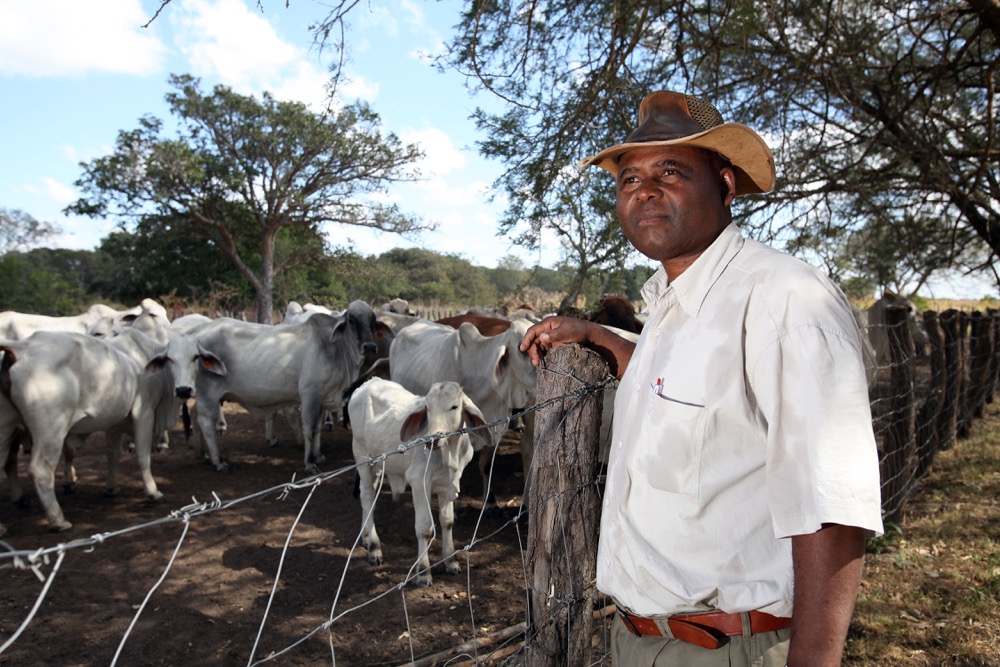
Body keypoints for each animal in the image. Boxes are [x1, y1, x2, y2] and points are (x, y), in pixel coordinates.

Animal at [187, 300, 378, 474]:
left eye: (373, 320)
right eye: (351, 320)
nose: (370, 346)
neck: (336, 348)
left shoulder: (322, 399)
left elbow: (318, 430)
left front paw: (319, 456)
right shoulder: (310, 395)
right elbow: (309, 429)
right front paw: (310, 463)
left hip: (204, 395)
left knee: (195, 415)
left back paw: (202, 454)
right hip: (209, 393)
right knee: (206, 423)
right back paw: (219, 462)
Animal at [349, 378, 492, 586]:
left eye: (454, 406)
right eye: (428, 407)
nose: (432, 439)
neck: (449, 453)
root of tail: (369, 382)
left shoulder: (448, 485)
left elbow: (447, 522)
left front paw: (451, 562)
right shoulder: (418, 482)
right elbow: (425, 528)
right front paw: (423, 572)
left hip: (377, 464)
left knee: (367, 495)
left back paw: (366, 537)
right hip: (361, 455)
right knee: (367, 496)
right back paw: (374, 548)